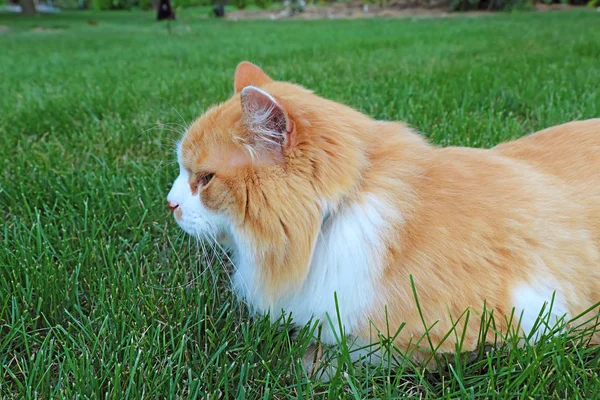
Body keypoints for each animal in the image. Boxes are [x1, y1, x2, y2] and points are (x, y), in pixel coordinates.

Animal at [165, 61, 600, 376]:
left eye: (205, 179)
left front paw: (305, 366)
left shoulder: (508, 323)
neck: (340, 213)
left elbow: (341, 353)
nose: (169, 204)